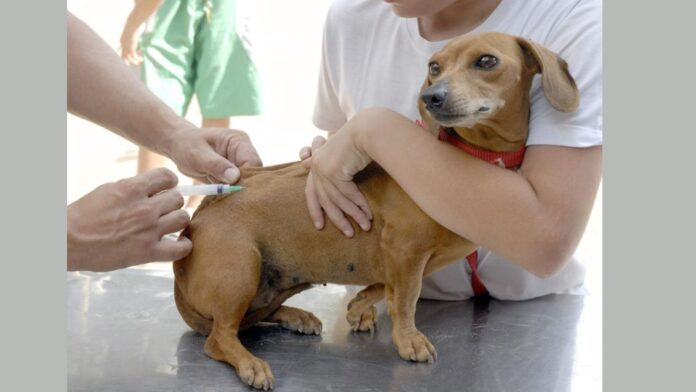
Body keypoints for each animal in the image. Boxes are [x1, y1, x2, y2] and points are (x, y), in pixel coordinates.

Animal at [173, 33, 576, 388]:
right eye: (434, 66)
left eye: (487, 61)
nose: (432, 97)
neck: (469, 155)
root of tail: (198, 218)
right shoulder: (405, 250)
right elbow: (406, 299)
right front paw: (408, 339)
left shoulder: (406, 258)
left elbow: (387, 287)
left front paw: (360, 305)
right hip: (242, 271)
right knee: (220, 337)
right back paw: (251, 363)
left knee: (253, 318)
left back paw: (296, 316)